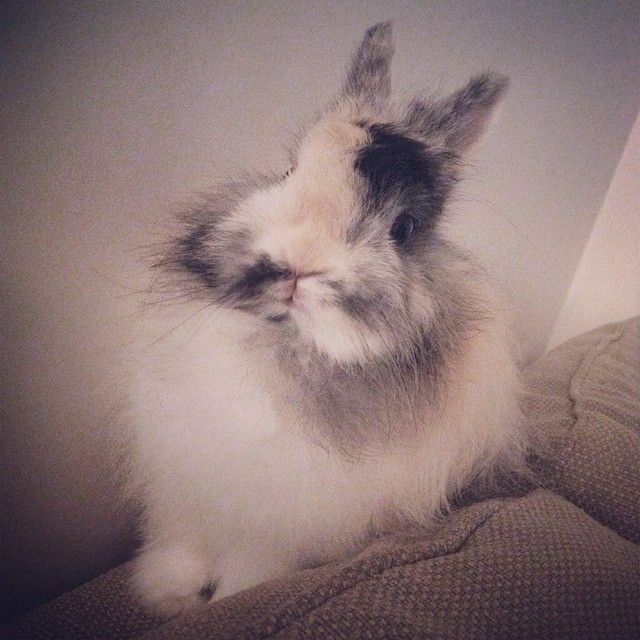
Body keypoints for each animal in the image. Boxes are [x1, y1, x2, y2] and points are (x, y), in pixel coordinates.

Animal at [127, 22, 527, 616]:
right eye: (289, 169)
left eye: (404, 228)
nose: (297, 264)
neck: (287, 345)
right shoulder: (189, 480)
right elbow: (185, 539)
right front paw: (164, 591)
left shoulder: (279, 521)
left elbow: (251, 564)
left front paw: (229, 599)